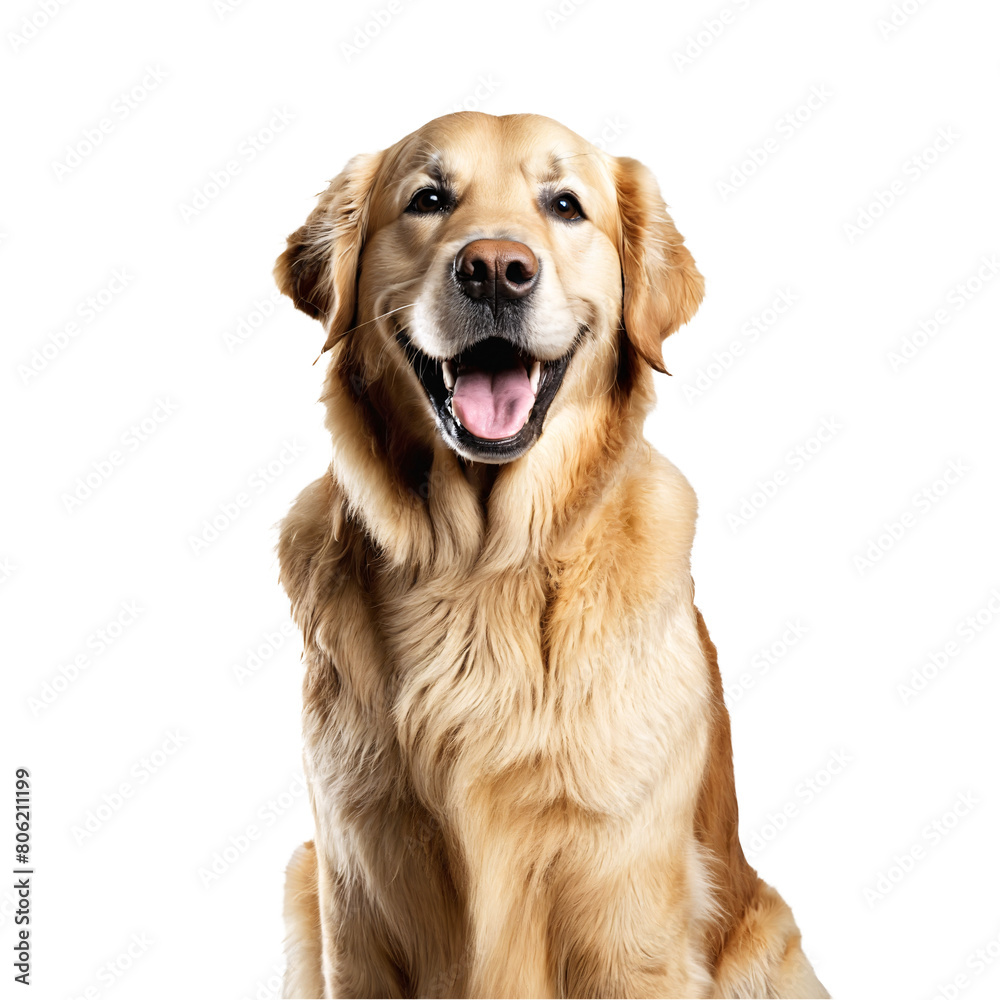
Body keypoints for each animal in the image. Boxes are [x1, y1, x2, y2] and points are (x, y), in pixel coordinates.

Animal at [274, 111, 828, 1000]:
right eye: (428, 199)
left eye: (565, 205)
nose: (496, 271)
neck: (477, 571)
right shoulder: (355, 895)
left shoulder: (626, 912)